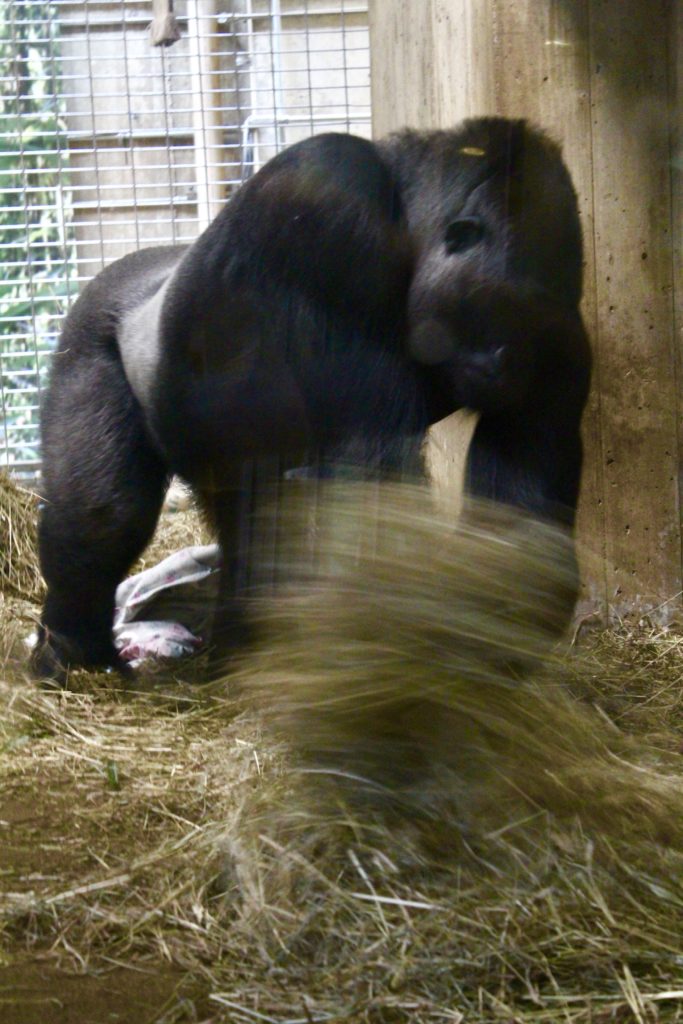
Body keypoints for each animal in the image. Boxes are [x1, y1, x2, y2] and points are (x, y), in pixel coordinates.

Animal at [29, 117, 589, 679]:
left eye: (537, 321)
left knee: (248, 519)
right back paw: (74, 648)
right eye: (509, 307)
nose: (508, 363)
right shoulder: (329, 201)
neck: (407, 217)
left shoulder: (568, 338)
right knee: (104, 513)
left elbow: (519, 514)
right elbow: (369, 475)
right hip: (89, 328)